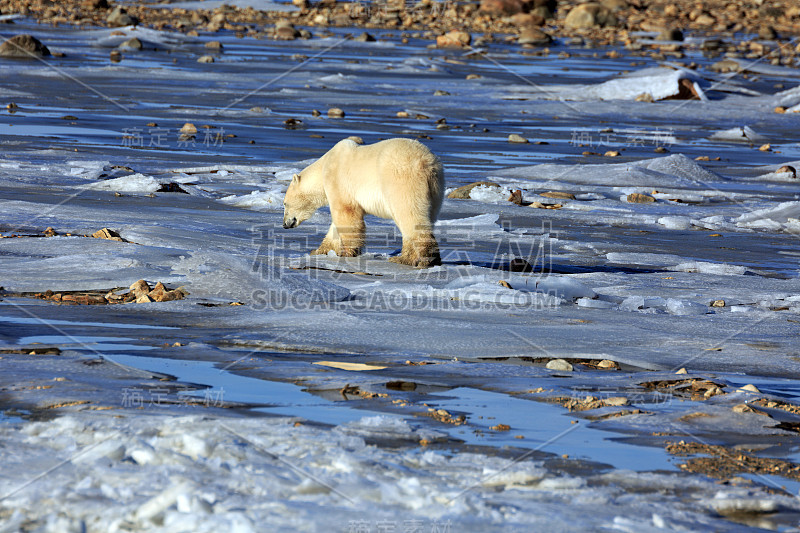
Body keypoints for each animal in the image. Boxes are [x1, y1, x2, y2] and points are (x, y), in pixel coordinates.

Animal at [282, 137, 444, 266]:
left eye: (284, 203)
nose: (284, 224)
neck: (323, 166)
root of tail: (427, 163)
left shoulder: (338, 180)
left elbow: (345, 214)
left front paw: (346, 253)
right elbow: (336, 225)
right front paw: (318, 251)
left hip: (402, 180)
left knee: (409, 215)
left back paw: (417, 259)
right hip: (435, 190)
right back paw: (405, 257)